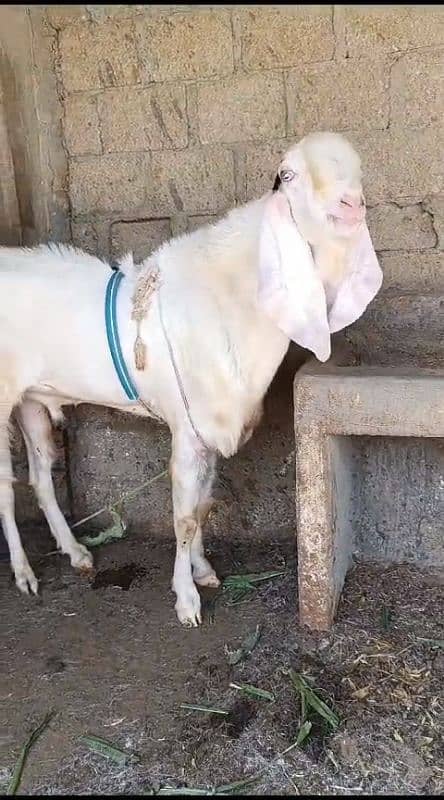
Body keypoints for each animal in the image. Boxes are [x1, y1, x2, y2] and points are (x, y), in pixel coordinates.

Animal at [0, 133, 382, 624]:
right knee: (5, 490)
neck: (228, 298)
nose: (351, 205)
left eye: (359, 173)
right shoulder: (186, 426)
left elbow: (201, 506)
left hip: (31, 398)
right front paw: (186, 600)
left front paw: (203, 571)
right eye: (289, 174)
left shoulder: (208, 428)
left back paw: (76, 553)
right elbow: (182, 517)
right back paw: (24, 573)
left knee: (42, 478)